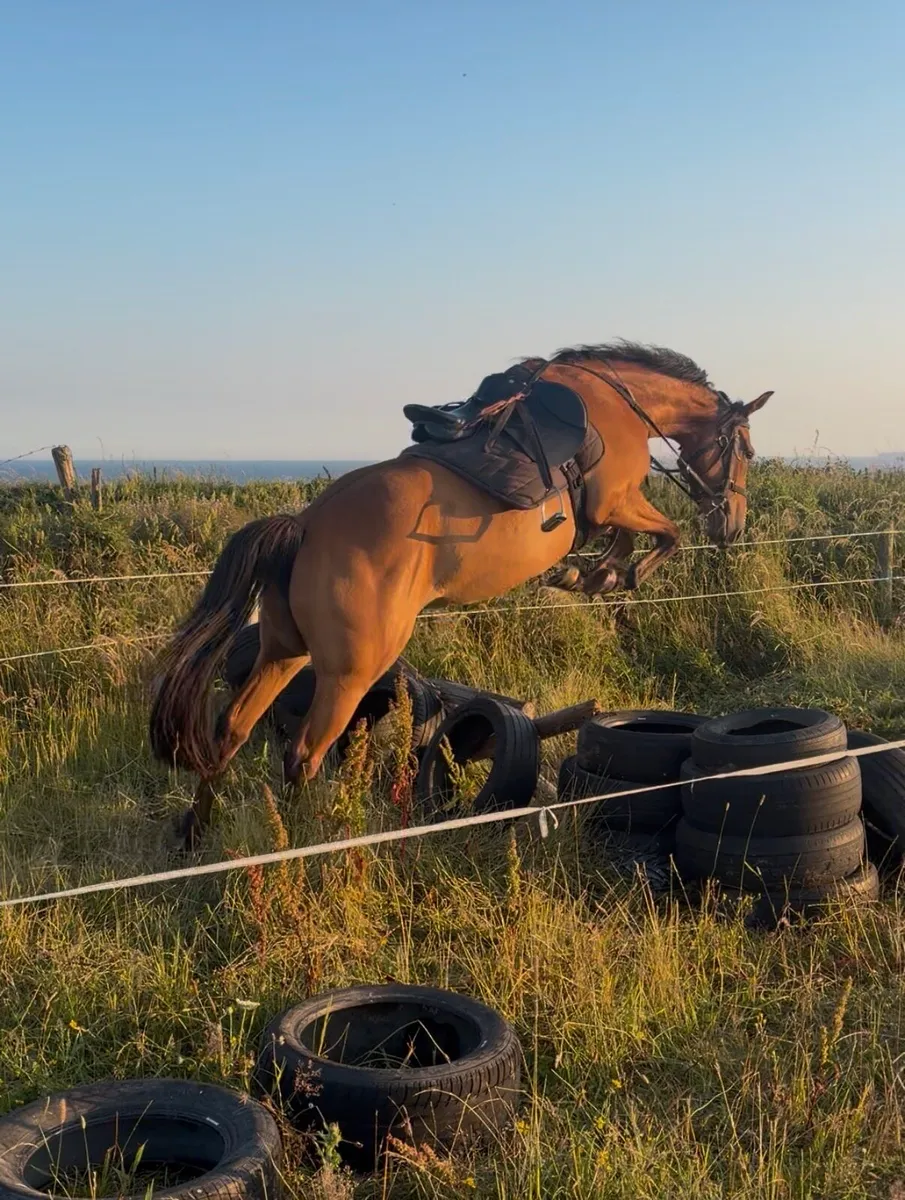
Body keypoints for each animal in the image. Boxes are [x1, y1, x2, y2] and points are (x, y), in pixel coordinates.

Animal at [149, 341, 772, 843]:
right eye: (745, 450)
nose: (731, 524)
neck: (617, 401)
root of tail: (304, 527)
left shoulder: (614, 509)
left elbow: (631, 539)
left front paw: (593, 573)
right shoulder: (616, 498)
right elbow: (662, 534)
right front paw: (605, 575)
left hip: (283, 651)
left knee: (231, 730)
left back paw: (196, 834)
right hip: (351, 671)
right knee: (303, 753)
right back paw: (312, 852)